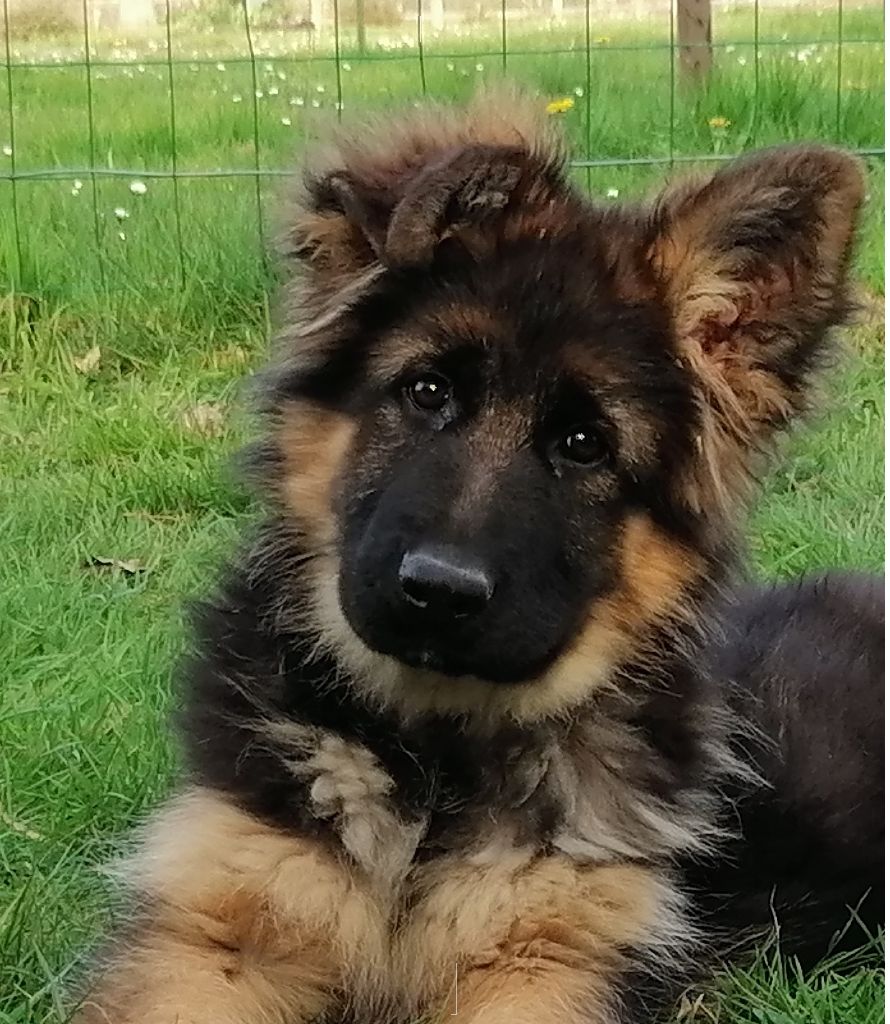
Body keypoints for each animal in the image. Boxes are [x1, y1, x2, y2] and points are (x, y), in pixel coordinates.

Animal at [74, 90, 880, 1024]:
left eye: (585, 446)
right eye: (428, 391)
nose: (439, 591)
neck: (432, 769)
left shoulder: (552, 958)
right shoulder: (212, 929)